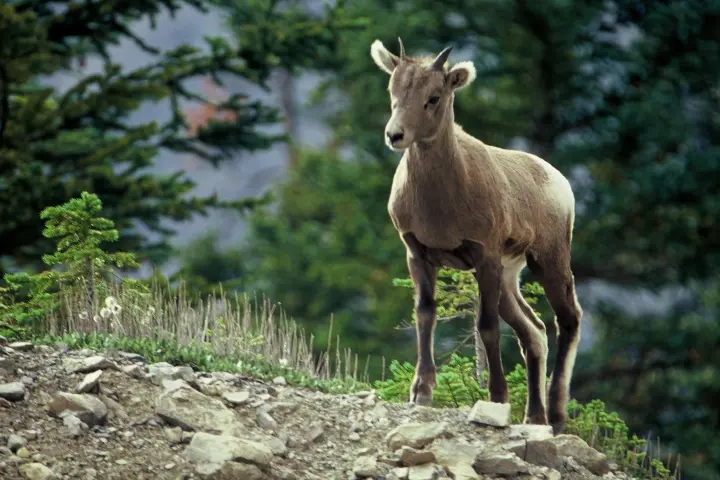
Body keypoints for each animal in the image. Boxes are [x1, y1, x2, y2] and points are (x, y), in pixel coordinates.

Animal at [369, 38, 583, 433]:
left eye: (434, 97)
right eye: (393, 90)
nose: (395, 135)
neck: (441, 204)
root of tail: (560, 183)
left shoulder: (484, 257)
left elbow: (486, 327)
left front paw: (497, 398)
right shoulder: (417, 253)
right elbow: (425, 314)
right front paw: (421, 392)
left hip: (548, 260)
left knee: (568, 319)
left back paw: (557, 415)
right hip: (511, 277)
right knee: (534, 332)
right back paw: (534, 417)